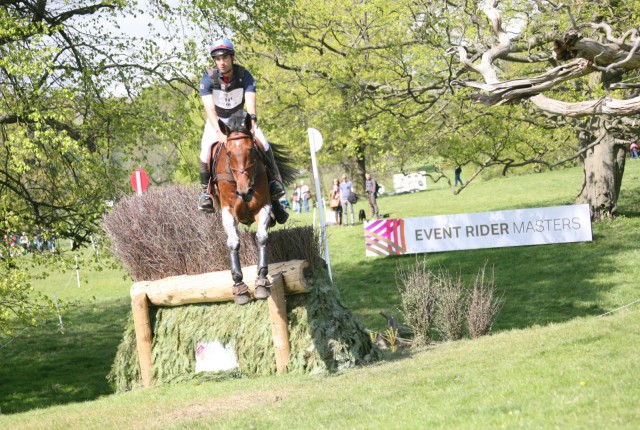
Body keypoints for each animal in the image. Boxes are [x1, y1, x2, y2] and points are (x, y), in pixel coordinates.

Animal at [211, 111, 296, 306]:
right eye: (228, 153)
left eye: (251, 150)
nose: (245, 192)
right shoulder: (228, 211)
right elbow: (233, 242)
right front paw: (239, 285)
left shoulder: (262, 207)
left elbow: (262, 237)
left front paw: (261, 281)